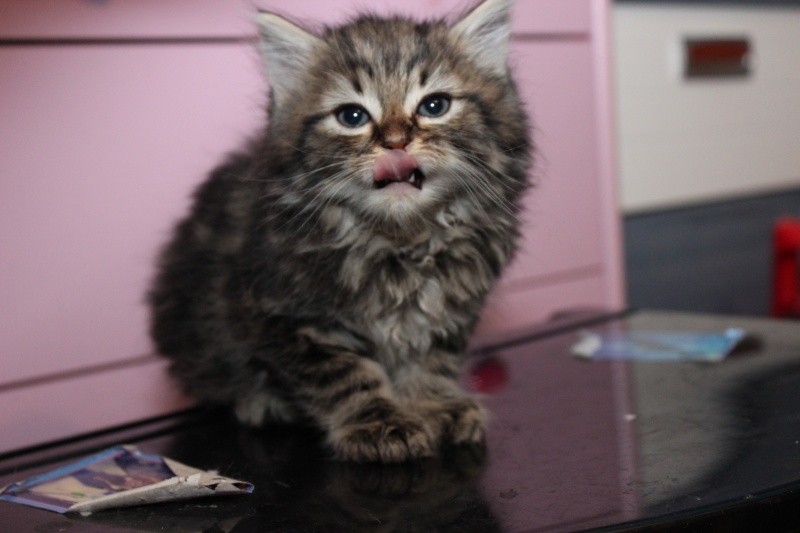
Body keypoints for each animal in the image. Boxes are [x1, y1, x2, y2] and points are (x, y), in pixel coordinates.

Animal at [149, 0, 532, 462]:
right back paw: (261, 401)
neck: (400, 244)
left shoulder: (449, 311)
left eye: (435, 106)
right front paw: (379, 424)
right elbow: (344, 375)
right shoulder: (288, 315)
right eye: (352, 116)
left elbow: (430, 360)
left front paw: (433, 404)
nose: (396, 142)